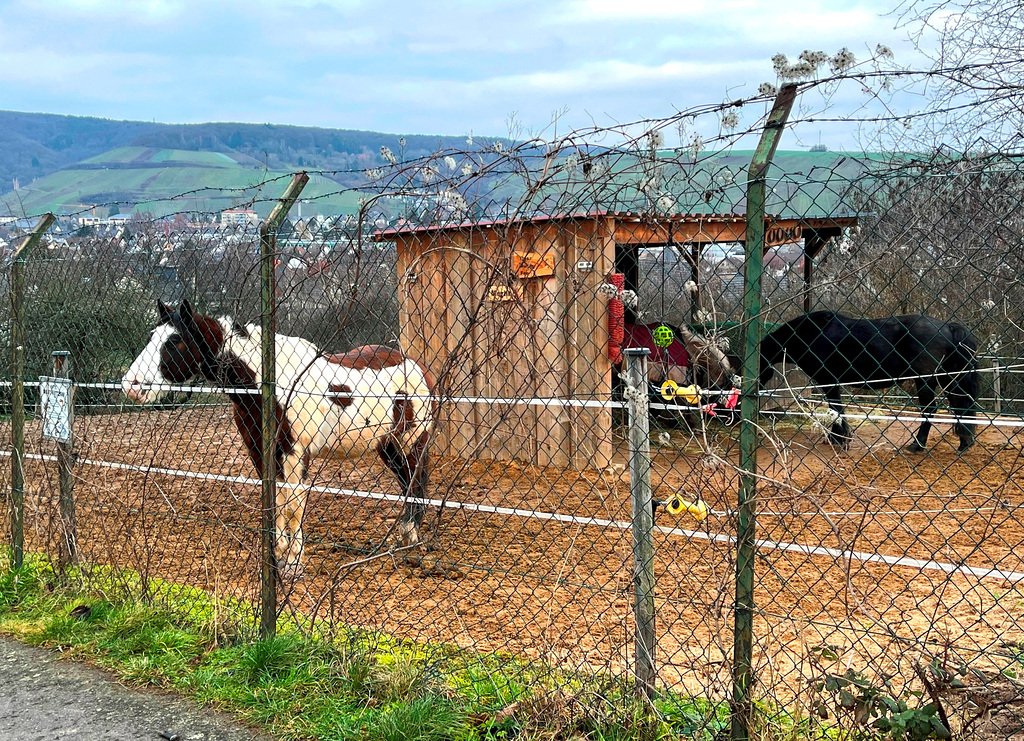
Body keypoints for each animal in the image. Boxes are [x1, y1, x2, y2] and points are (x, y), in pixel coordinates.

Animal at [121, 300, 434, 577]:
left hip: (411, 443)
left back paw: (411, 541)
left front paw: (294, 564)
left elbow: (293, 507)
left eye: (174, 341)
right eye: (151, 337)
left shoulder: (295, 454)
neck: (268, 385)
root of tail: (416, 366)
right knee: (407, 483)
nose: (130, 386)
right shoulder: (261, 453)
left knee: (415, 482)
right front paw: (277, 556)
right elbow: (275, 503)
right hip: (388, 447)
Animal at [757, 311, 978, 452]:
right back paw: (964, 443)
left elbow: (836, 408)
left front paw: (839, 439)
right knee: (960, 406)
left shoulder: (828, 380)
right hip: (946, 378)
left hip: (926, 380)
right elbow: (836, 409)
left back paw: (917, 445)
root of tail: (947, 326)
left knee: (930, 409)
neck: (811, 334)